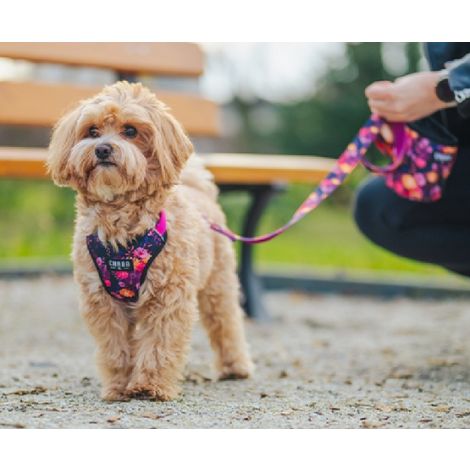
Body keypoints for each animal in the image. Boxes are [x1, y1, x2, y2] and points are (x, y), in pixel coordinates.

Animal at [47, 80, 253, 400]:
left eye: (130, 130)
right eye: (92, 131)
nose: (102, 148)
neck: (121, 232)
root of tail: (199, 191)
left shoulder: (168, 296)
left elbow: (160, 344)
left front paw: (149, 386)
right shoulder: (102, 301)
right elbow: (115, 348)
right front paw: (119, 386)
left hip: (218, 284)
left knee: (226, 323)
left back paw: (235, 367)